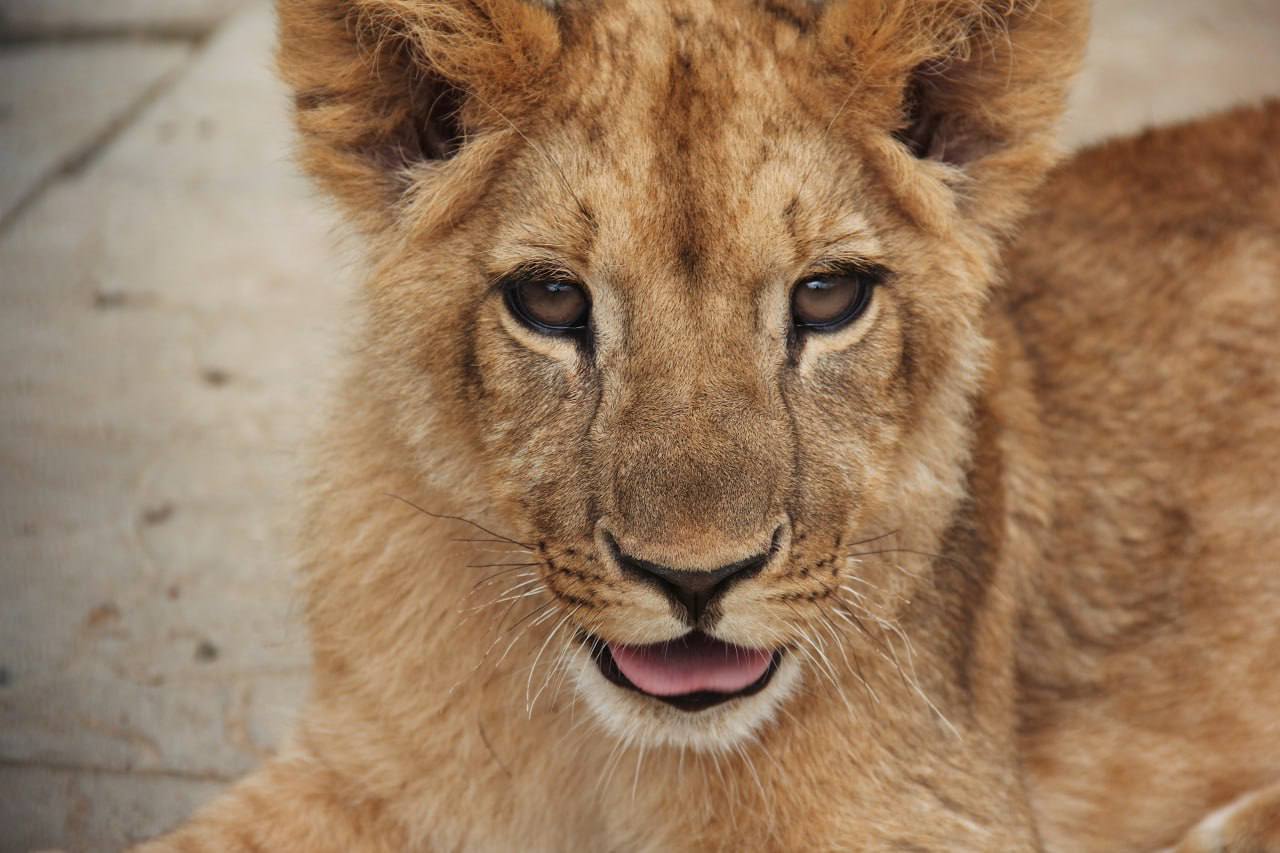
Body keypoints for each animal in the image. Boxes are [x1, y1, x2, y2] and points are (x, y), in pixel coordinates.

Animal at [138, 0, 1280, 850]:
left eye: (827, 296)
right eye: (550, 300)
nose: (696, 580)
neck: (601, 748)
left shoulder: (940, 810)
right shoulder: (357, 769)